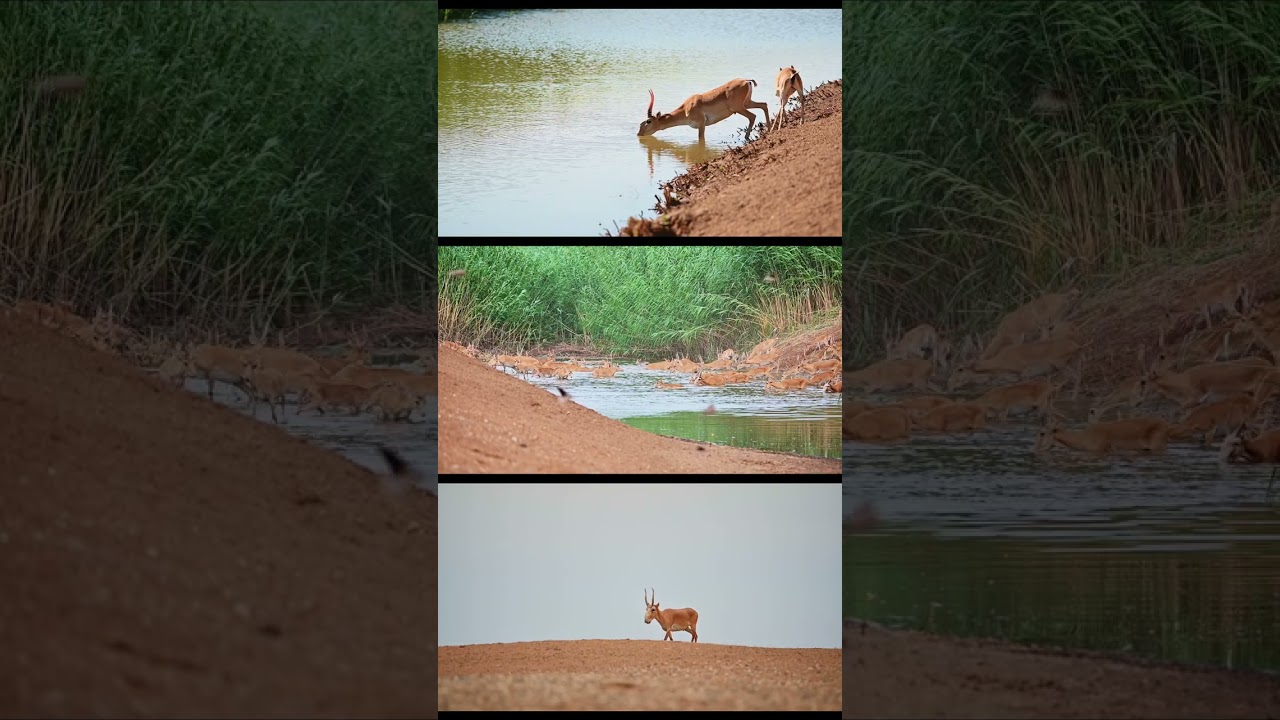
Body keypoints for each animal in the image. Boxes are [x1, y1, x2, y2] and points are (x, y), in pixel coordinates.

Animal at [637, 78, 770, 143]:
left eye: (648, 121)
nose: (639, 134)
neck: (686, 109)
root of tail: (746, 80)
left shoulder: (701, 124)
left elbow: (701, 139)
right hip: (747, 103)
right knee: (764, 105)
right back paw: (769, 129)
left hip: (739, 108)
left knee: (752, 116)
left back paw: (747, 137)